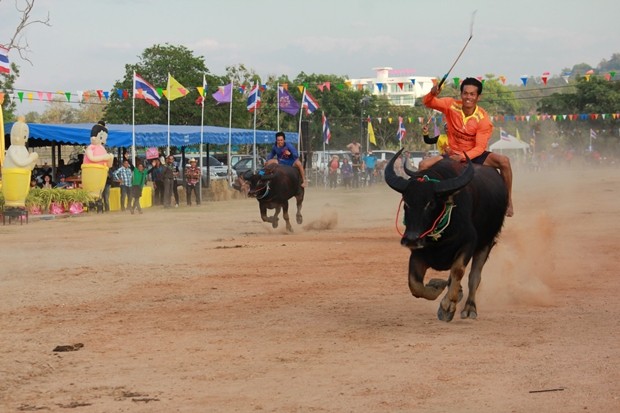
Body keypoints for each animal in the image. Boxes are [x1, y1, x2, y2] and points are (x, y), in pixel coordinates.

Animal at [386, 149, 506, 322]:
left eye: (430, 203)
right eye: (406, 203)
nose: (411, 239)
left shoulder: (469, 243)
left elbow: (458, 271)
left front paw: (447, 306)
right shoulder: (418, 252)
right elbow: (414, 284)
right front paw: (436, 286)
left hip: (486, 243)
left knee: (474, 277)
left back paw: (469, 308)